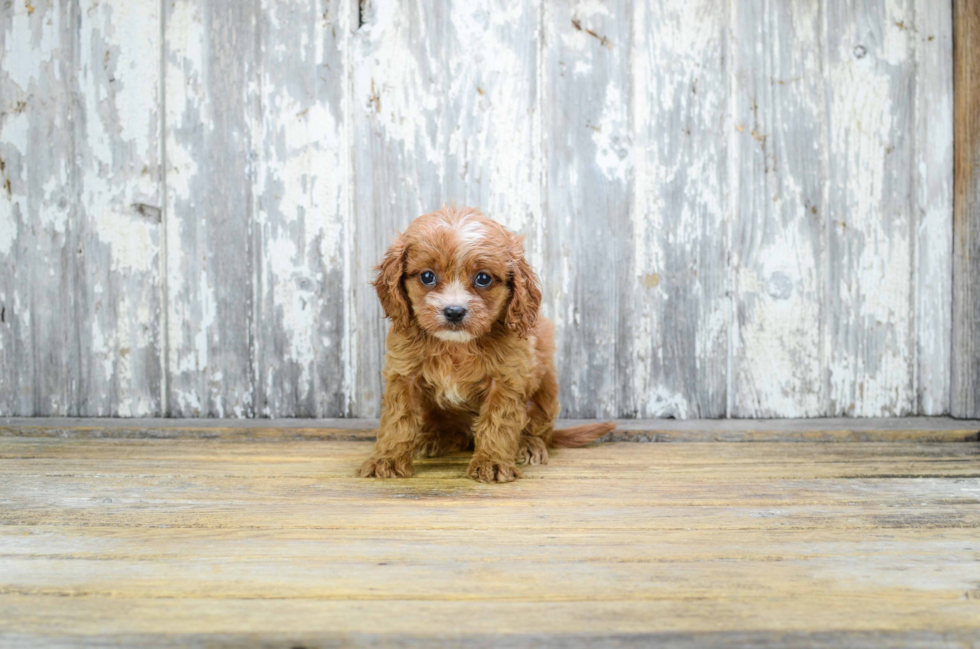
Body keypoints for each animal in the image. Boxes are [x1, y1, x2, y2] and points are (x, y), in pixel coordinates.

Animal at [360, 205, 612, 484]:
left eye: (483, 278)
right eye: (427, 276)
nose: (454, 311)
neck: (456, 345)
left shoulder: (506, 379)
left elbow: (498, 422)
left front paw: (492, 462)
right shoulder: (404, 374)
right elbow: (398, 419)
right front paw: (388, 460)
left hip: (545, 401)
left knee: (537, 431)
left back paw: (529, 445)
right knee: (457, 433)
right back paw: (433, 439)